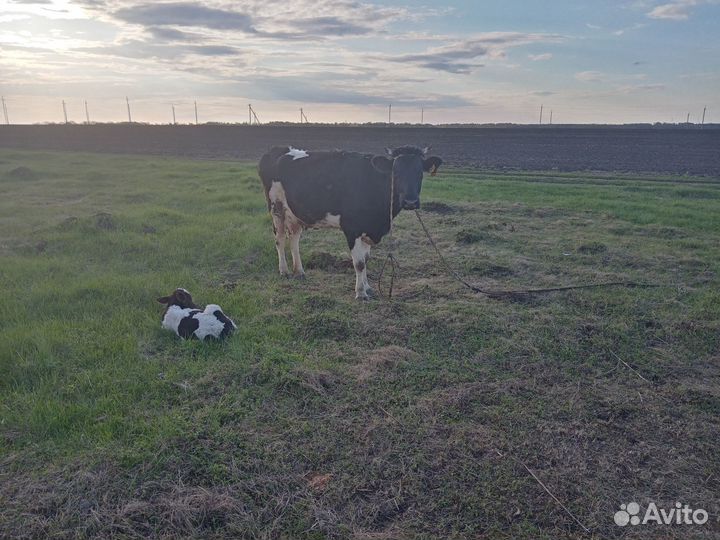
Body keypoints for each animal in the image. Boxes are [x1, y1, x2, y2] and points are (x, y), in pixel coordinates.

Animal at [258, 145, 442, 299]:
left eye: (420, 172)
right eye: (395, 173)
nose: (411, 202)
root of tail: (278, 149)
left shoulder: (369, 228)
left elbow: (366, 259)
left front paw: (368, 288)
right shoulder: (352, 228)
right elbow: (359, 263)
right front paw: (360, 293)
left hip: (295, 213)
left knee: (294, 239)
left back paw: (299, 272)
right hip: (276, 208)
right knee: (280, 239)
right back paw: (284, 271)